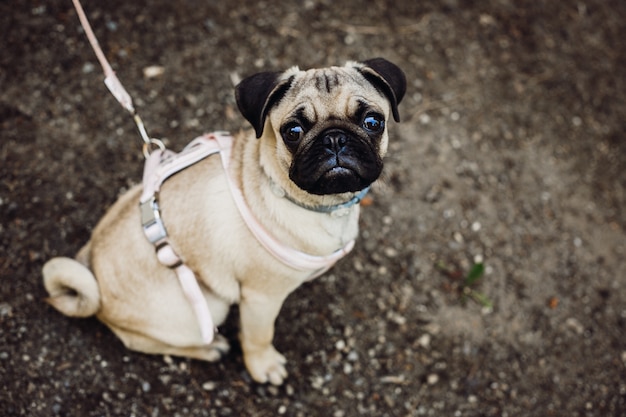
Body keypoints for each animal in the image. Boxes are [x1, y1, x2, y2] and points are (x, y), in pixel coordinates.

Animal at [44, 57, 404, 386]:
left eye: (373, 122)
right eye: (293, 132)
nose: (334, 139)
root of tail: (94, 280)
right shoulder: (260, 299)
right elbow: (259, 336)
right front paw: (263, 366)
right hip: (207, 306)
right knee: (140, 340)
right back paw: (210, 348)